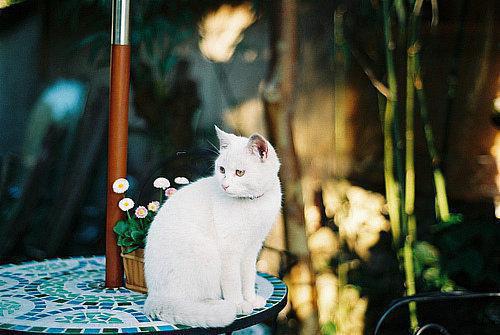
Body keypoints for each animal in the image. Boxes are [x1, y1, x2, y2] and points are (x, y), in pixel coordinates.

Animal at [144, 126, 282, 328]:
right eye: (222, 169)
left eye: (239, 173)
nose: (224, 185)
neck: (252, 203)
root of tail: (154, 297)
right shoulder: (229, 251)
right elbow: (233, 282)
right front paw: (239, 304)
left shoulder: (252, 248)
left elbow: (248, 277)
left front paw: (250, 299)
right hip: (206, 253)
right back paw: (219, 305)